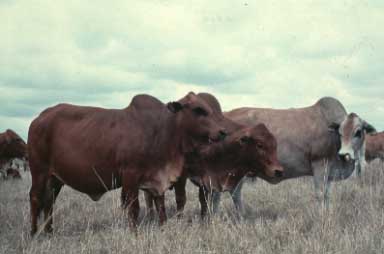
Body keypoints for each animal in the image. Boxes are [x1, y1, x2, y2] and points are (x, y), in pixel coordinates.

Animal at [29, 92, 228, 235]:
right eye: (198, 110)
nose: (223, 132)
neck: (162, 130)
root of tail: (39, 118)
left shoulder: (157, 180)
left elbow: (161, 208)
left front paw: (163, 229)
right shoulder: (131, 177)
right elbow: (134, 209)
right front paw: (135, 234)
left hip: (55, 179)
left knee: (49, 202)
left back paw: (49, 232)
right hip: (39, 171)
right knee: (35, 198)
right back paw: (34, 234)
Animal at [144, 93, 282, 218]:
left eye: (275, 144)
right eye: (260, 145)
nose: (278, 171)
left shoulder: (206, 179)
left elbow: (204, 201)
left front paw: (204, 219)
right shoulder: (182, 176)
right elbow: (181, 199)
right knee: (149, 196)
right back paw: (150, 216)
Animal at [212, 97, 356, 212]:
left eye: (358, 132)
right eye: (341, 133)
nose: (346, 154)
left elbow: (327, 195)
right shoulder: (321, 164)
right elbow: (321, 195)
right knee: (225, 193)